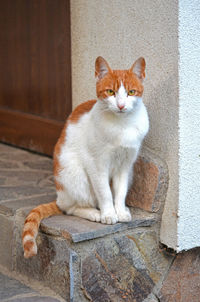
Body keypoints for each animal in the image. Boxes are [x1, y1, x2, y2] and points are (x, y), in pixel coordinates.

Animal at [22, 56, 149, 258]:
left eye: (131, 92)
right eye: (110, 92)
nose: (121, 105)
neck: (122, 125)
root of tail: (60, 196)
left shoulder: (125, 166)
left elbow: (119, 192)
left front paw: (120, 210)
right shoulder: (97, 164)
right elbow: (105, 192)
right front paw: (108, 214)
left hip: (129, 175)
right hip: (74, 174)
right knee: (70, 208)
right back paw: (94, 213)